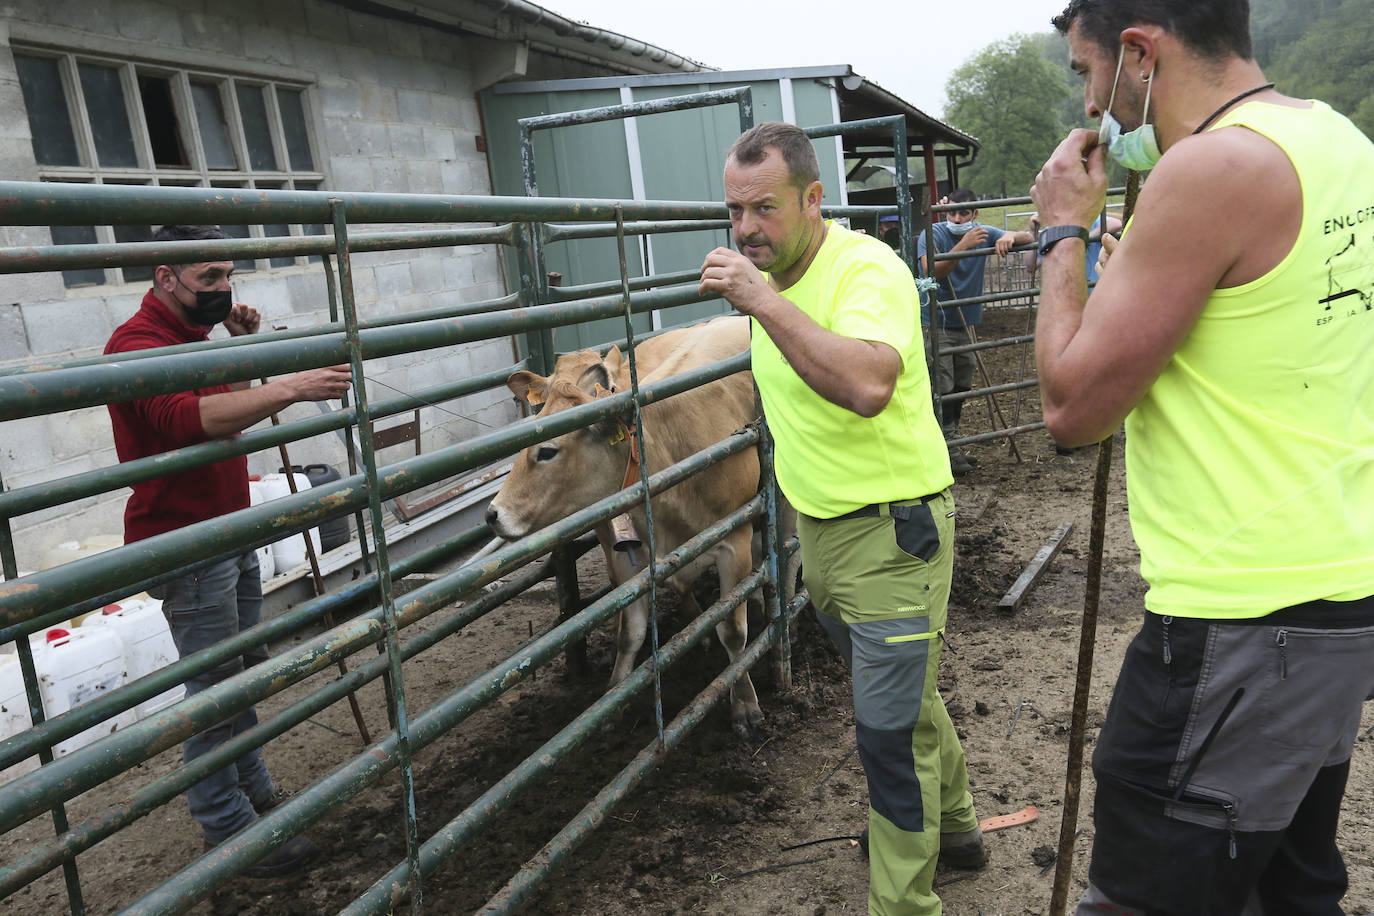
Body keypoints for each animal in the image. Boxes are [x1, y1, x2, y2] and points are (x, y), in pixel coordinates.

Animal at [483, 318, 769, 736]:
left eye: (547, 451)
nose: (493, 514)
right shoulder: (625, 559)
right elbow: (628, 634)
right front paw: (614, 699)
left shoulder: (735, 537)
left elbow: (732, 628)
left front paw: (744, 703)